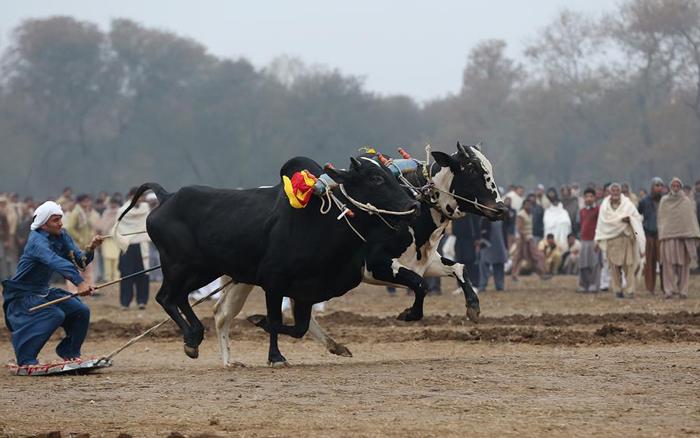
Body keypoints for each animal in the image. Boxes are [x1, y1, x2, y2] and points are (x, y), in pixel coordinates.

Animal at [117, 156, 418, 364]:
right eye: (375, 178)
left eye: (389, 175)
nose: (412, 206)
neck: (321, 219)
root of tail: (166, 197)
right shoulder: (274, 282)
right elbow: (274, 321)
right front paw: (274, 353)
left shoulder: (306, 292)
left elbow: (299, 327)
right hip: (179, 266)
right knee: (166, 297)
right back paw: (193, 338)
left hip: (204, 270)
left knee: (180, 298)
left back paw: (195, 338)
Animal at [213, 143, 504, 366]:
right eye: (472, 169)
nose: (501, 208)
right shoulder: (378, 265)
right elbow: (420, 286)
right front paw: (408, 314)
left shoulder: (425, 261)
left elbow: (459, 268)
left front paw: (473, 308)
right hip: (246, 278)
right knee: (222, 313)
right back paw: (233, 356)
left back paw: (332, 345)